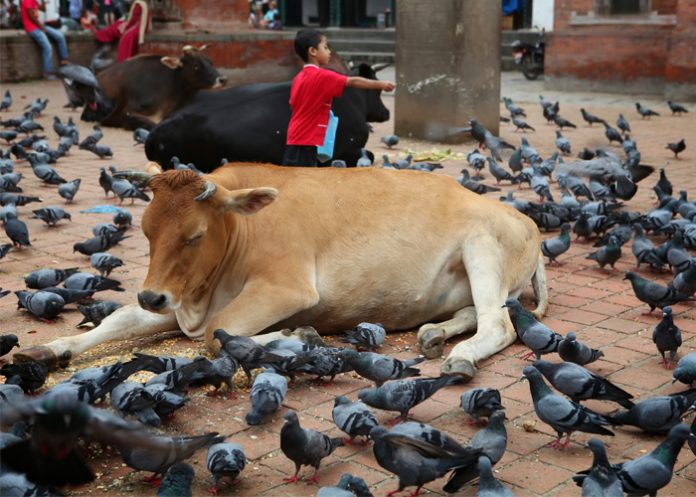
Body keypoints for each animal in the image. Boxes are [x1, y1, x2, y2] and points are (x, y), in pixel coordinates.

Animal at [14, 164, 548, 382]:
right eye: (145, 230)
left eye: (194, 235)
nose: (151, 297)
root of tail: (526, 219)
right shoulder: (180, 297)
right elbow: (118, 320)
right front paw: (50, 349)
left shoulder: (285, 287)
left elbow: (218, 333)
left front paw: (300, 335)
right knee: (476, 314)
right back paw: (436, 333)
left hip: (481, 248)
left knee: (497, 323)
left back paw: (460, 357)